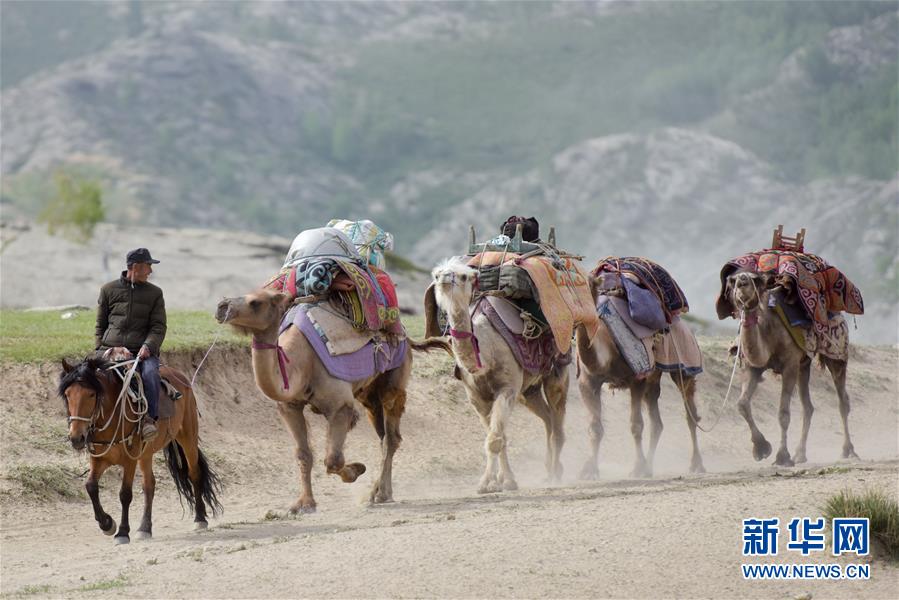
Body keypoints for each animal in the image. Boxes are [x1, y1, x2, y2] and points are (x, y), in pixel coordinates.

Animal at [59, 357, 222, 544]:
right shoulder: (99, 459)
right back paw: (145, 528)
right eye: (67, 394)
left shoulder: (130, 459)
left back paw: (200, 518)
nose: (76, 437)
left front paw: (122, 532)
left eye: (91, 394)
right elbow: (91, 486)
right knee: (149, 485)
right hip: (146, 454)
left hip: (188, 437)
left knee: (194, 473)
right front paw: (107, 524)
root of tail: (182, 378)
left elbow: (125, 494)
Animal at [216, 289, 437, 511]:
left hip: (394, 378)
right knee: (382, 435)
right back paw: (380, 493)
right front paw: (305, 503)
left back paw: (380, 494)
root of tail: (406, 336)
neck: (299, 363)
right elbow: (304, 454)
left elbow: (333, 459)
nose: (222, 306)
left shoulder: (340, 406)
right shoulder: (290, 406)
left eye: (255, 302)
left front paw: (357, 470)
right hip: (368, 394)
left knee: (391, 436)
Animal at [424, 258, 567, 493]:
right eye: (437, 274)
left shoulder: (507, 389)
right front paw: (498, 480)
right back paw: (547, 470)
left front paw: (493, 482)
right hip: (528, 390)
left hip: (557, 371)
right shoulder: (477, 398)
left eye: (463, 276)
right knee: (547, 417)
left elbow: (494, 440)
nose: (444, 278)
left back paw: (556, 473)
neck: (485, 351)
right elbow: (498, 436)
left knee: (557, 420)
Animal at [575, 279, 705, 479]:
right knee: (657, 421)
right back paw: (649, 467)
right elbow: (595, 427)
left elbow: (636, 425)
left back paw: (696, 465)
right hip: (653, 379)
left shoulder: (636, 379)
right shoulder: (588, 382)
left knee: (690, 413)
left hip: (685, 360)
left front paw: (637, 468)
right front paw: (589, 471)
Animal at [725, 270, 857, 466]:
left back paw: (848, 451)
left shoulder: (789, 365)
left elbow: (783, 413)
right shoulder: (752, 367)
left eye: (755, 279)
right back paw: (800, 454)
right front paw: (761, 448)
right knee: (808, 407)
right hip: (804, 365)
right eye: (732, 281)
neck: (766, 330)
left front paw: (782, 456)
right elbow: (741, 404)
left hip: (836, 353)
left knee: (843, 401)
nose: (742, 280)